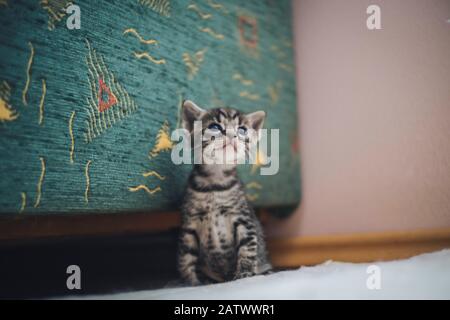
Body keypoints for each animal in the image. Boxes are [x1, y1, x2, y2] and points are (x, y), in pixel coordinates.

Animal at [178, 100, 272, 284]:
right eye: (215, 126)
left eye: (242, 130)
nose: (231, 134)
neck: (215, 183)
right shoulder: (190, 222)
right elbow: (186, 256)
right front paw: (191, 283)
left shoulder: (243, 218)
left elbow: (247, 247)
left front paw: (244, 274)